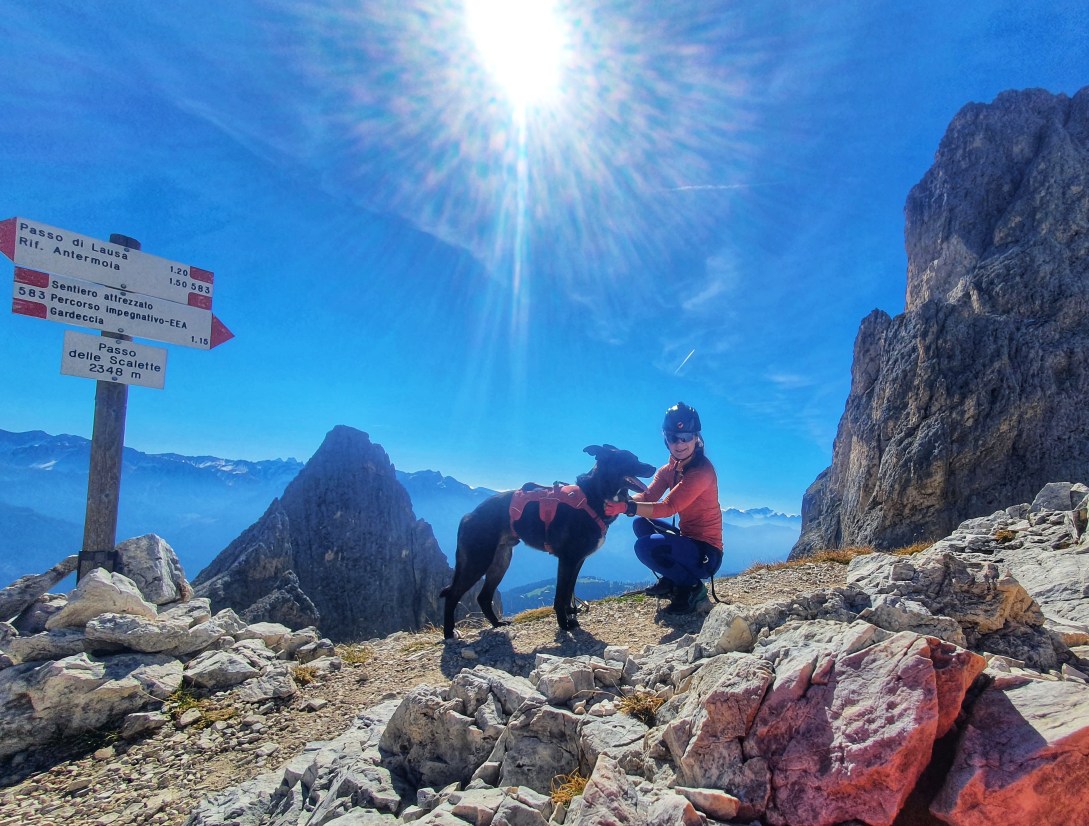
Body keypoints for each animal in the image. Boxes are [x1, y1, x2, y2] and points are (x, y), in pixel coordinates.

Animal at [437, 446, 649, 640]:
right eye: (629, 459)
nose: (653, 467)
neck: (593, 496)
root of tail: (468, 515)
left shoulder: (578, 560)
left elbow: (569, 593)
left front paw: (571, 618)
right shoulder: (567, 560)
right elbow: (561, 595)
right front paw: (564, 624)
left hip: (501, 561)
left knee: (483, 596)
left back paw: (497, 623)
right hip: (478, 560)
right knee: (453, 595)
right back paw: (449, 634)